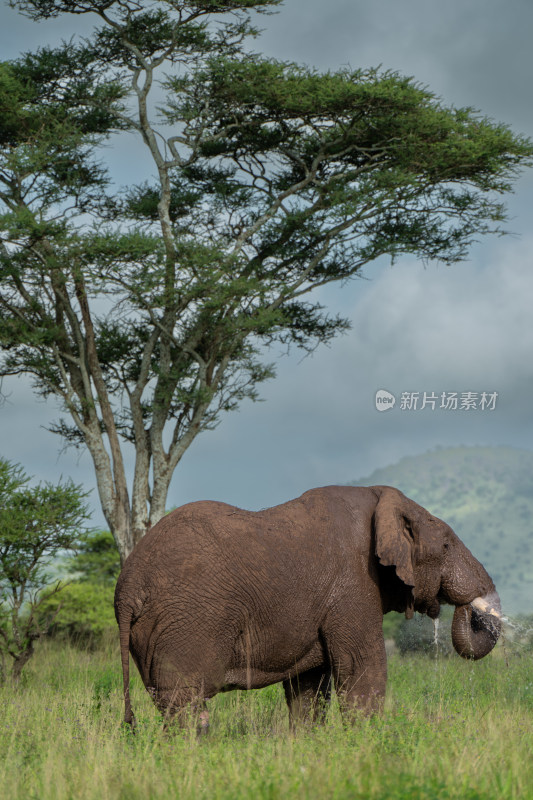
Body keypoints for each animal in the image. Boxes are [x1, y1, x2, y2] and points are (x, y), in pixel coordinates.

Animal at [114, 484, 500, 736]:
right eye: (446, 545)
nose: (470, 609)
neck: (384, 501)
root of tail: (127, 588)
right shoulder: (354, 583)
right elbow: (362, 667)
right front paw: (367, 745)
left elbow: (308, 686)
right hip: (189, 620)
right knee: (185, 701)